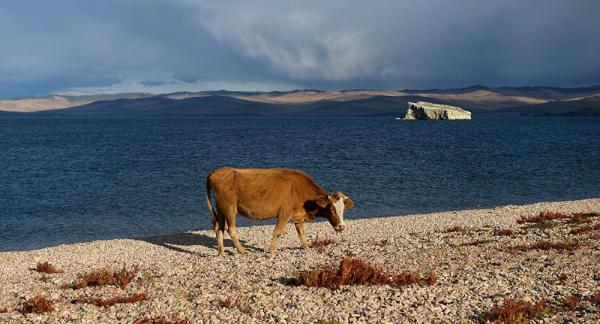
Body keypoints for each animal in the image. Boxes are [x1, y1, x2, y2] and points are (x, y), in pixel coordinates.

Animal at [206, 167, 354, 256]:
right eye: (332, 209)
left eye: (343, 210)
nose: (342, 226)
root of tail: (215, 172)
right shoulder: (285, 212)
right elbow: (277, 232)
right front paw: (271, 250)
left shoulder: (298, 216)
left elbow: (301, 233)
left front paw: (306, 247)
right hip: (230, 207)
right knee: (231, 229)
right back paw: (242, 250)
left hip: (221, 208)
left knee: (219, 228)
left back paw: (221, 252)